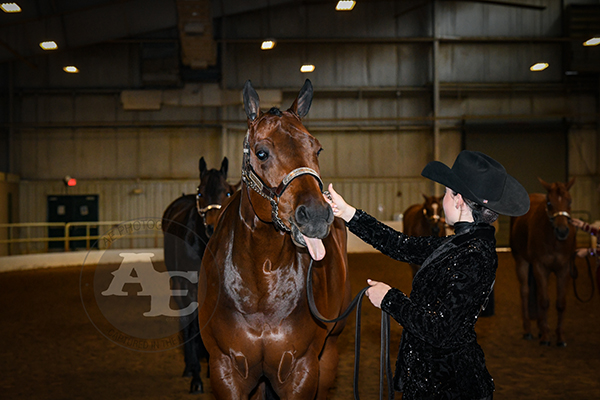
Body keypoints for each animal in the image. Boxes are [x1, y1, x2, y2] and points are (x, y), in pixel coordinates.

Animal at [161, 156, 239, 393]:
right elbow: (194, 323)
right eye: (200, 192)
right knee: (186, 321)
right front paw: (196, 376)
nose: (212, 227)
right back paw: (190, 366)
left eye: (228, 192)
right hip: (177, 283)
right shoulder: (191, 287)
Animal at [198, 79, 351, 399]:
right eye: (261, 152)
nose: (316, 215)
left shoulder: (302, 371)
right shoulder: (225, 370)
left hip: (330, 350)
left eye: (317, 149)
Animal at [510, 177, 576, 347]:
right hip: (522, 262)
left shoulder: (564, 269)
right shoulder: (540, 267)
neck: (554, 241)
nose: (562, 231)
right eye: (549, 202)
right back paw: (528, 330)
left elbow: (560, 303)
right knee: (525, 292)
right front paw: (546, 337)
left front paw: (560, 337)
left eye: (570, 201)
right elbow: (544, 301)